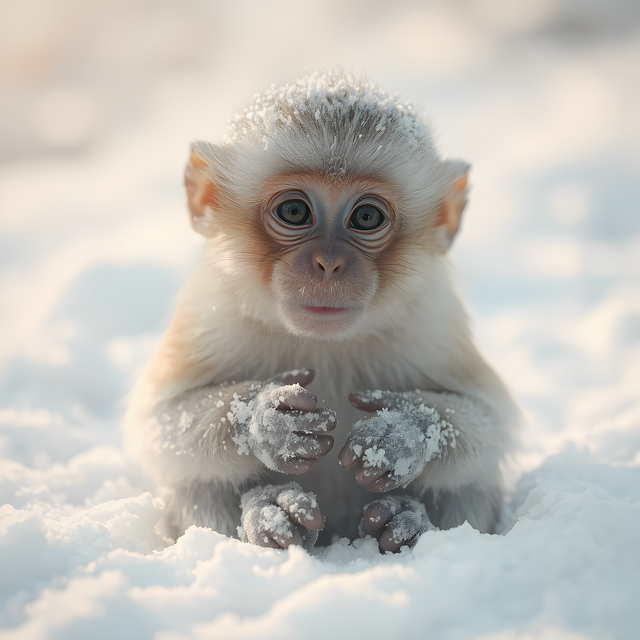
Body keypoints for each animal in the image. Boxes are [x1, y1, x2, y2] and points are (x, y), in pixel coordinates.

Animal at [124, 70, 518, 553]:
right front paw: (264, 421)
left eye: (366, 218)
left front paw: (401, 430)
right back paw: (268, 514)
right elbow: (158, 422)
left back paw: (406, 521)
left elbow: (493, 421)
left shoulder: (434, 320)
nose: (328, 265)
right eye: (294, 211)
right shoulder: (208, 314)